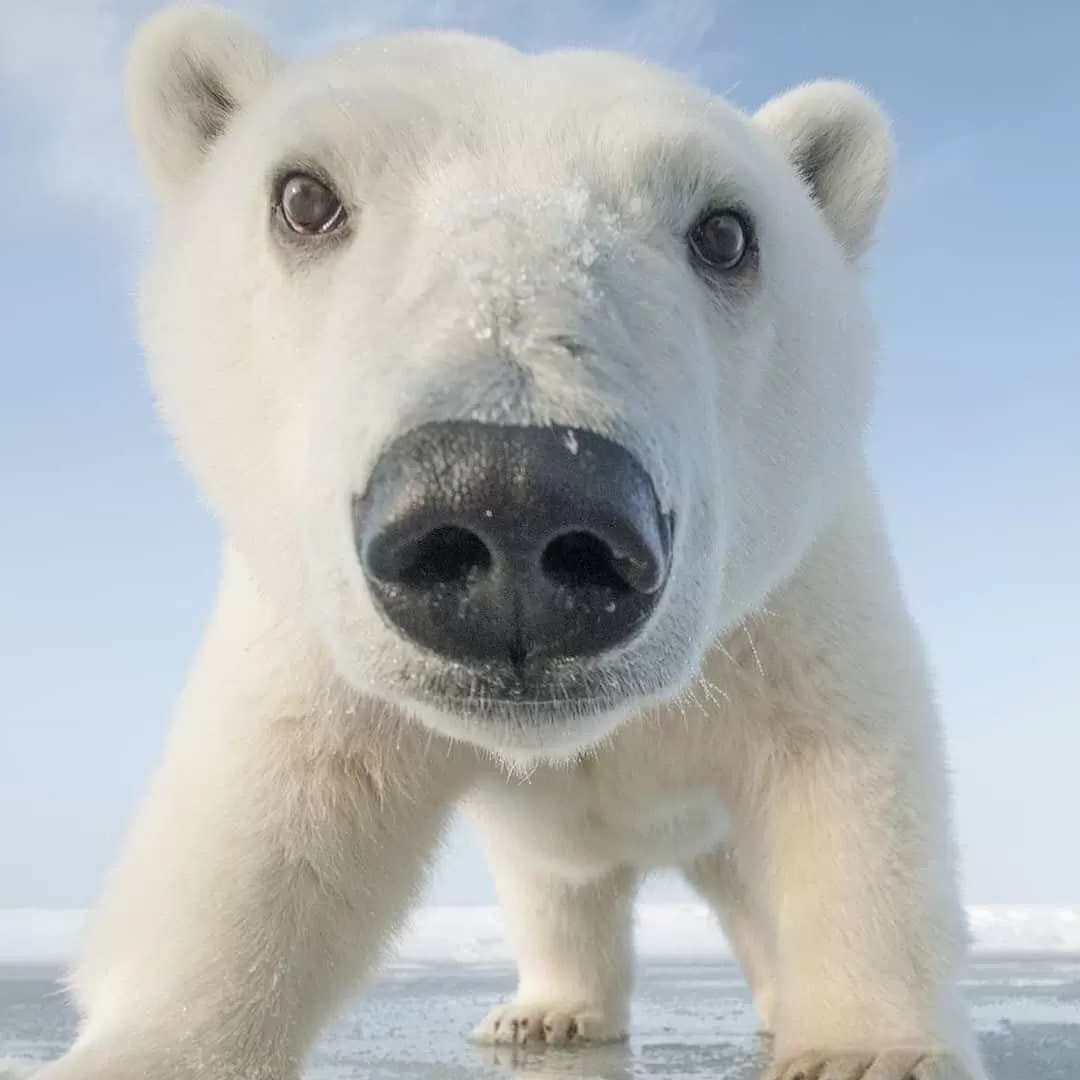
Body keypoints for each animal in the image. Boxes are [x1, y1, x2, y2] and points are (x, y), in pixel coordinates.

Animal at [39, 6, 989, 1080]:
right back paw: (547, 1012)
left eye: (727, 231)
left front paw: (869, 1051)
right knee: (560, 887)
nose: (515, 501)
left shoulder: (795, 603)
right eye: (303, 196)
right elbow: (275, 815)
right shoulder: (312, 641)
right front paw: (142, 1046)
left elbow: (848, 778)